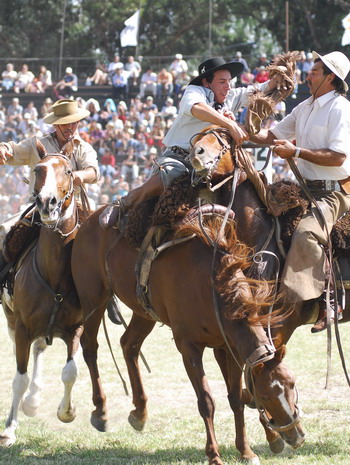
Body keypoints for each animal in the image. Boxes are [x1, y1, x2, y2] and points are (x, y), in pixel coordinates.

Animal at [0, 149, 85, 446]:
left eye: (68, 171)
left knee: (40, 349)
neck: (55, 274)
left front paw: (67, 412)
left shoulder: (76, 328)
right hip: (12, 320)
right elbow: (19, 379)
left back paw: (34, 400)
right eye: (38, 169)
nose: (47, 203)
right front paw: (9, 429)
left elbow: (71, 372)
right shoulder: (23, 328)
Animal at [71, 190, 304, 462]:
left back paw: (140, 412)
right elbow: (206, 402)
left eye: (292, 384)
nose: (297, 437)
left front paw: (246, 451)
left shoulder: (228, 347)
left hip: (144, 311)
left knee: (129, 344)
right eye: (266, 394)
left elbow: (235, 397)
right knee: (90, 347)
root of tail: (90, 218)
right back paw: (101, 411)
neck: (211, 287)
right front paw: (214, 455)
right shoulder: (189, 348)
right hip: (93, 298)